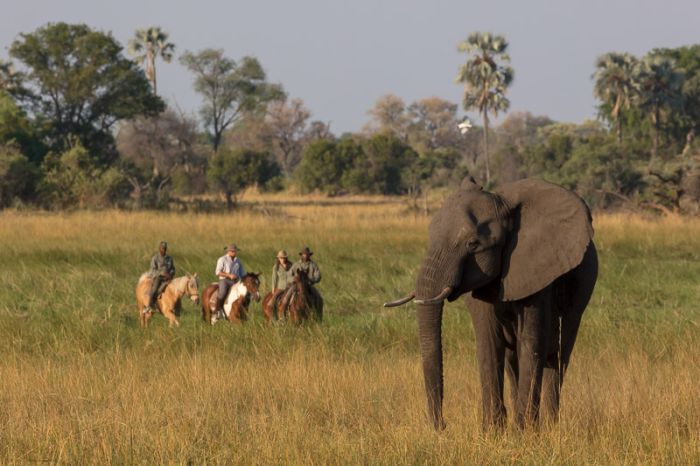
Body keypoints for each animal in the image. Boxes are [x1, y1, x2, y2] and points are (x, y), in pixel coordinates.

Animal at [386, 177, 600, 430]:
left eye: (473, 244)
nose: (443, 426)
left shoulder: (539, 272)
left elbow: (531, 343)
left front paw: (523, 433)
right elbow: (489, 343)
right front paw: (494, 432)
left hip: (580, 295)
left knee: (557, 355)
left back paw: (550, 426)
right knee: (513, 359)